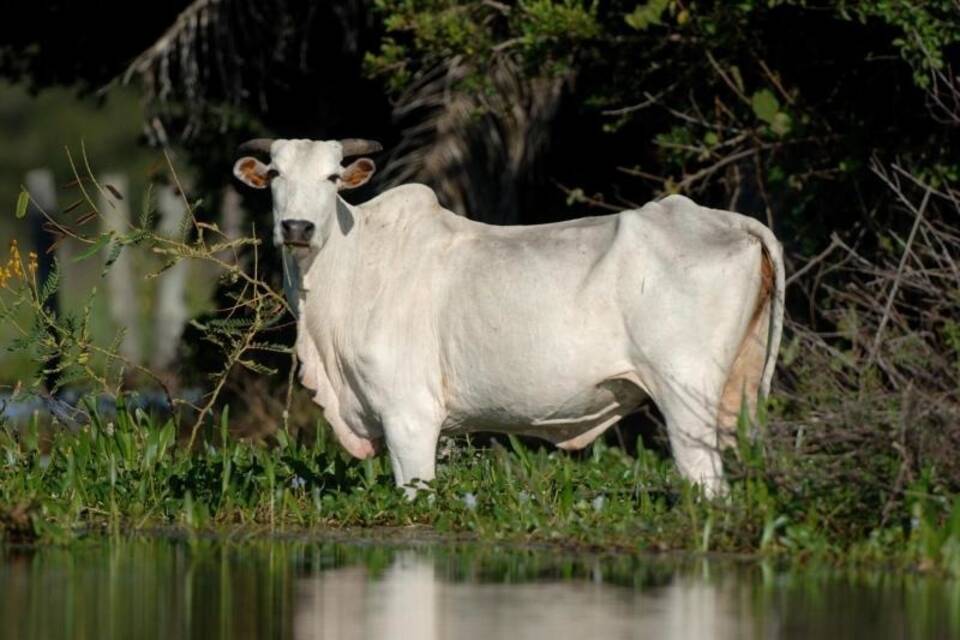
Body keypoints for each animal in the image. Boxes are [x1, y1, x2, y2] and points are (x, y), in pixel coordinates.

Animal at [236, 136, 784, 496]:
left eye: (332, 177)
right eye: (275, 174)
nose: (297, 227)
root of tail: (720, 218)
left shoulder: (409, 415)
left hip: (685, 395)